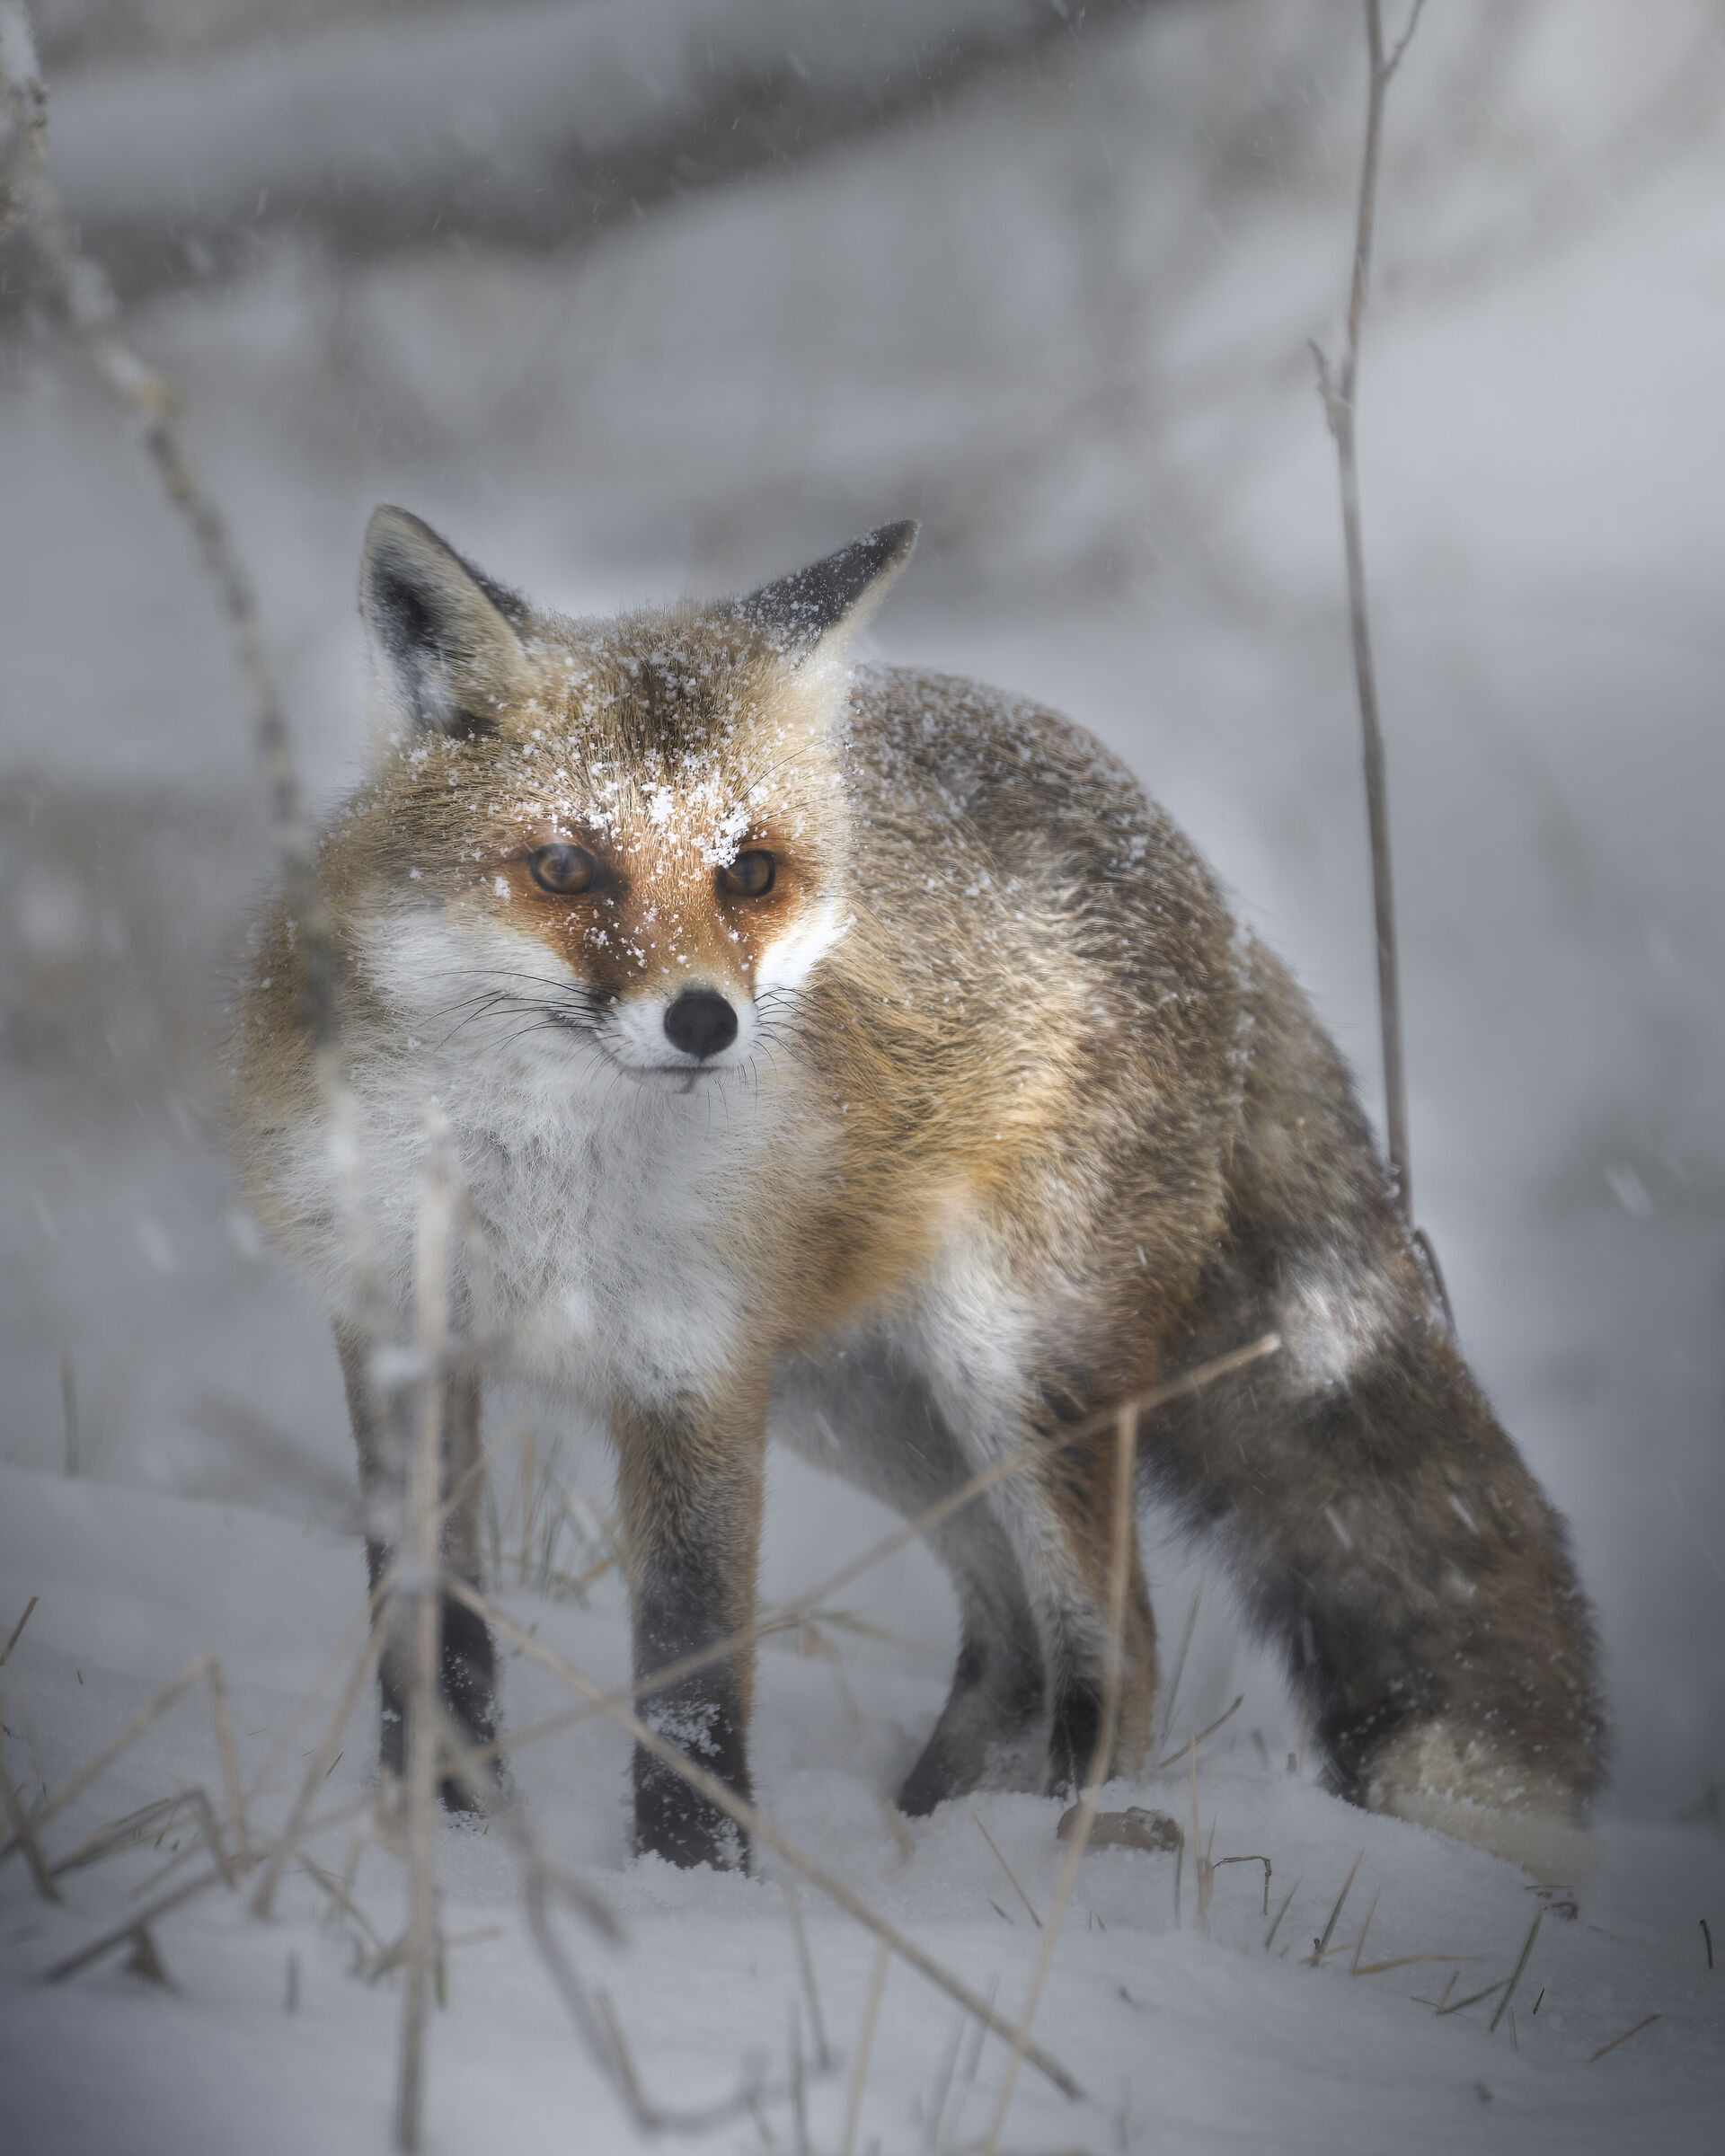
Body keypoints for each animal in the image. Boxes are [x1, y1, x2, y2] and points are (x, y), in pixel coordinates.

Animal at [231, 507, 1605, 1880]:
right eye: (567, 868)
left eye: (751, 873)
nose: (704, 1022)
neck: (532, 1170)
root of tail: (1193, 870)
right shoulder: (403, 1342)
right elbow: (431, 1643)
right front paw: (443, 1838)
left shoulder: (694, 1372)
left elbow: (690, 1678)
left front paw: (694, 1880)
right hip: (861, 1401)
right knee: (1009, 1643)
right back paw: (928, 1836)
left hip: (1016, 1374)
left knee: (1116, 1647)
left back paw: (1056, 1852)